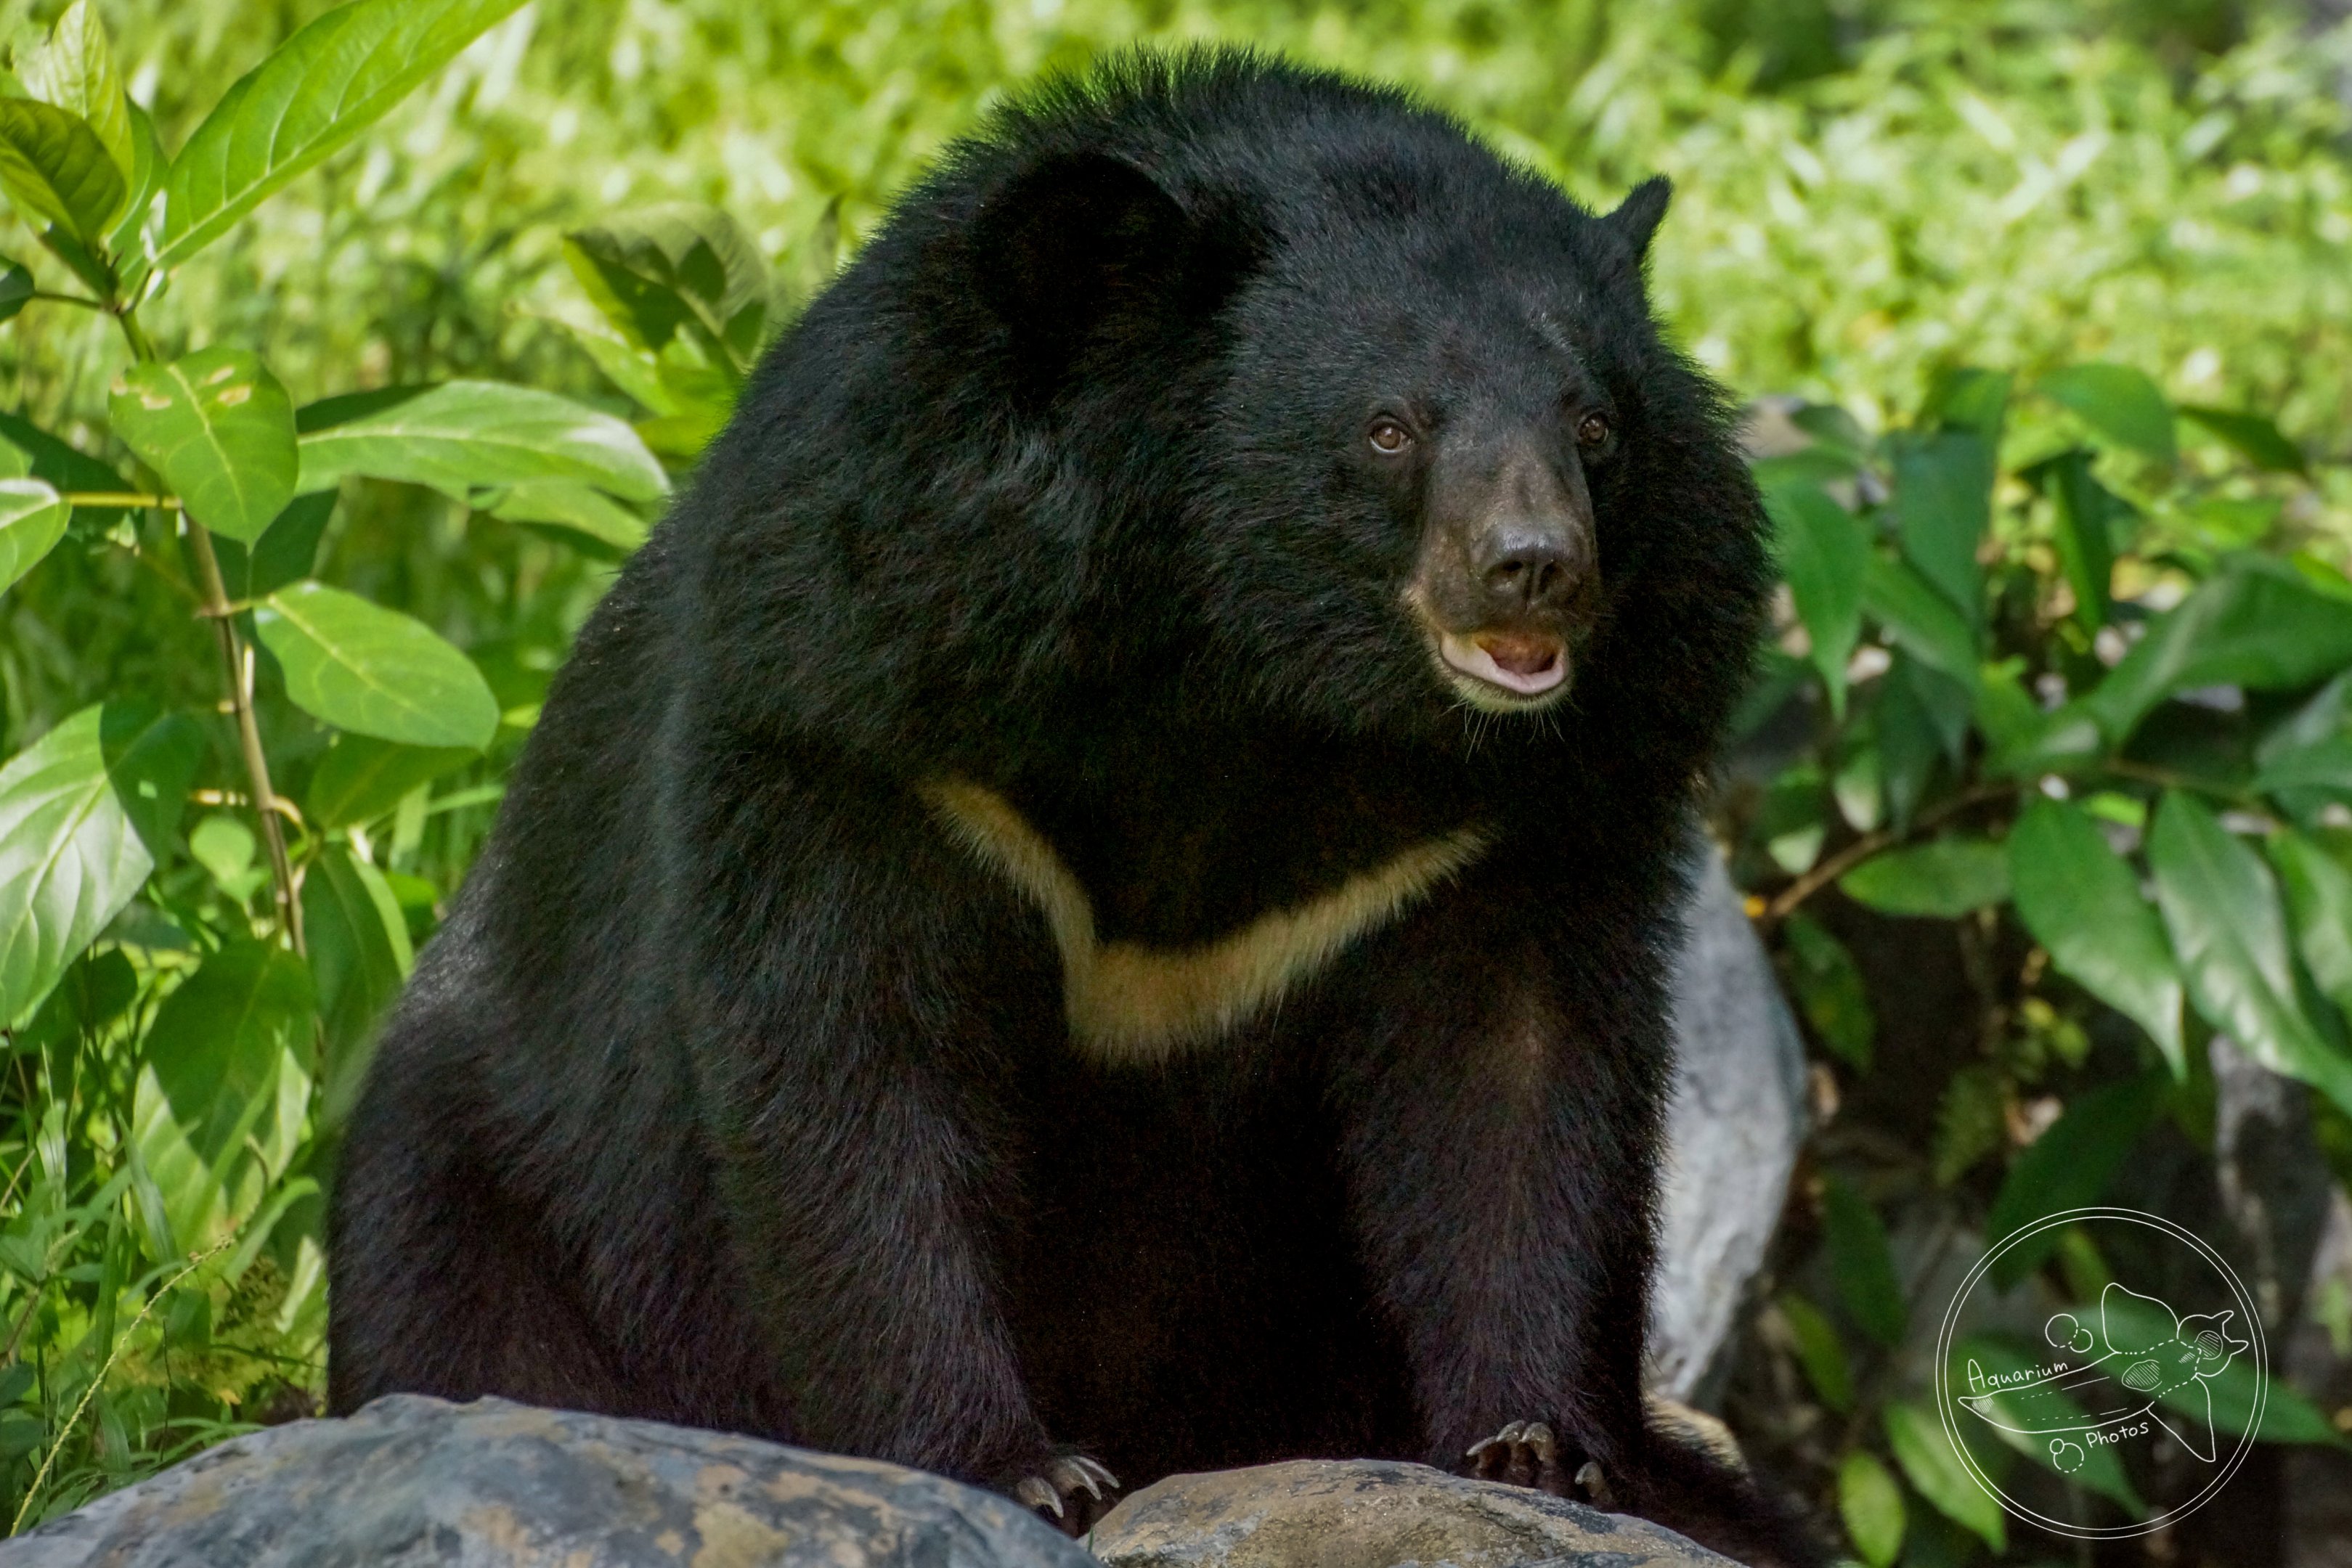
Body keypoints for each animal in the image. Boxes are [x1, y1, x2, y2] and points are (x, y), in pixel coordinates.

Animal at [327, 49, 1809, 1564]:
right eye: (1389, 429)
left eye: (1594, 429)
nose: (1533, 569)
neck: (1252, 674)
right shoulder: (872, 725)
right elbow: (854, 1072)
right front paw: (1014, 1467)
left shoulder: (1508, 818)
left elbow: (1515, 1091)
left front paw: (1535, 1452)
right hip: (487, 1166)